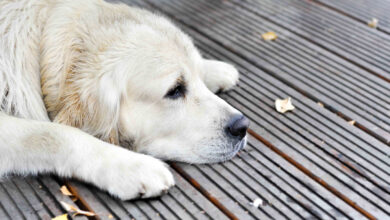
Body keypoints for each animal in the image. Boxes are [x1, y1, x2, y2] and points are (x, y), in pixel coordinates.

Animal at [0, 0, 248, 199]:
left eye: (196, 78)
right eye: (175, 90)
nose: (242, 126)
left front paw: (213, 69)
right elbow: (51, 134)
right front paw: (131, 166)